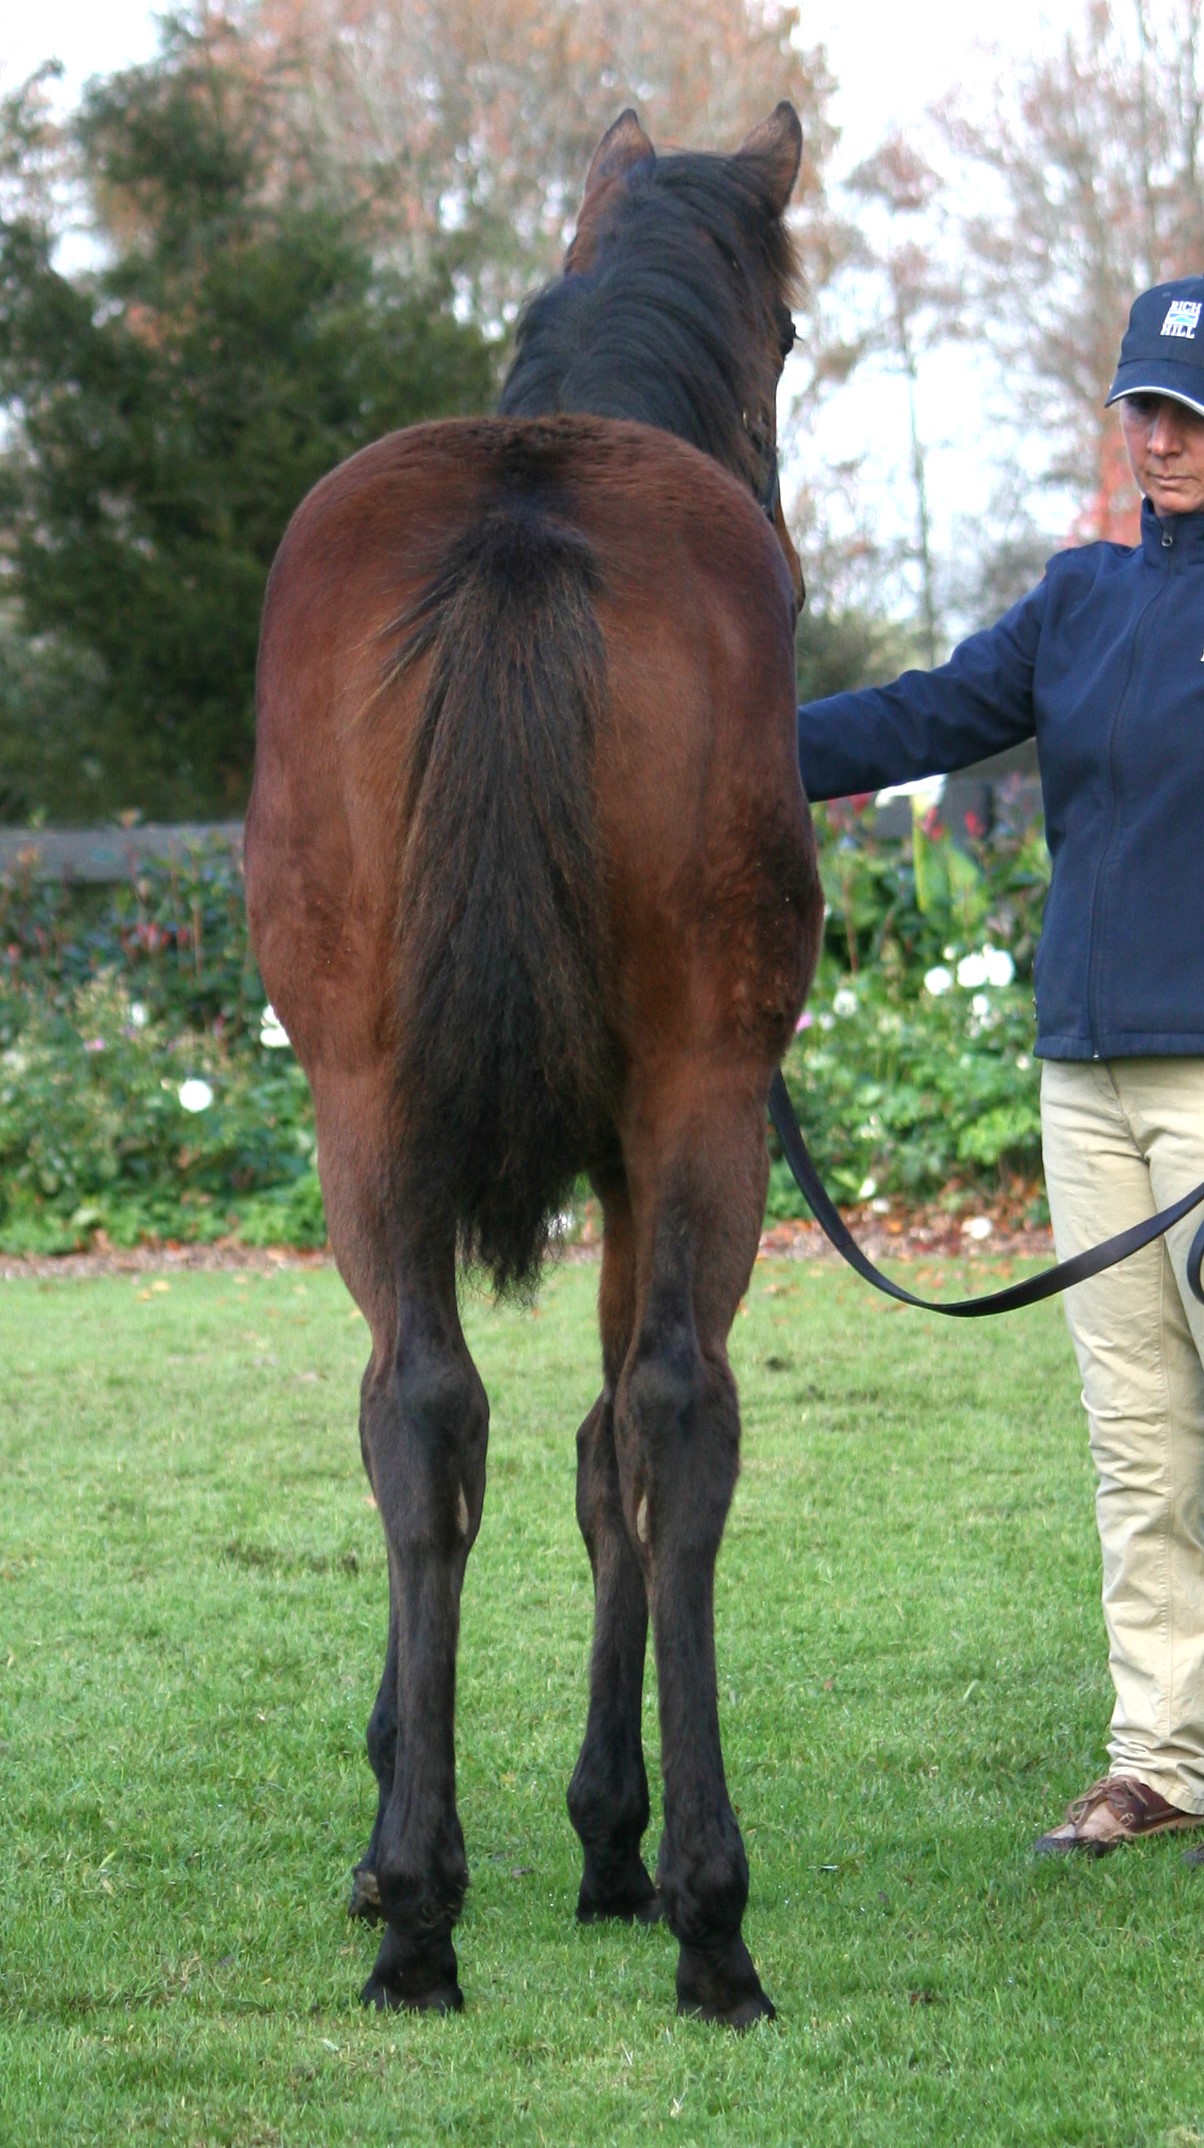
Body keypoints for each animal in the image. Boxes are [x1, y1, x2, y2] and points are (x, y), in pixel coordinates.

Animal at [245, 101, 822, 2028]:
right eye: (790, 337)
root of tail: (521, 512)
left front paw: (402, 1823)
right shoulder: (643, 1151)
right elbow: (600, 1454)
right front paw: (600, 1831)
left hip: (374, 1112)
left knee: (427, 1406)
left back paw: (434, 1911)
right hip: (696, 1110)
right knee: (657, 1415)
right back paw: (701, 1912)